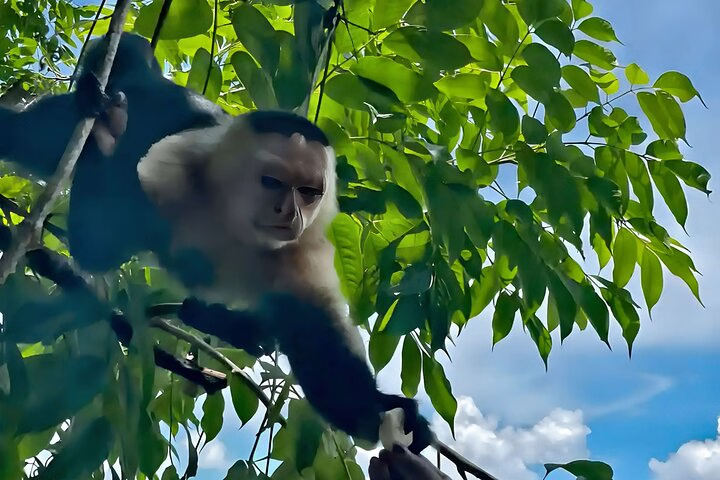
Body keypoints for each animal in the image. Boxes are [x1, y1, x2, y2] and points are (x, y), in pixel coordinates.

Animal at [136, 111, 433, 453]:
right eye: (272, 182)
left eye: (308, 191)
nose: (291, 213)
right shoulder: (167, 179)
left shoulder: (303, 246)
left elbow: (315, 335)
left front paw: (379, 409)